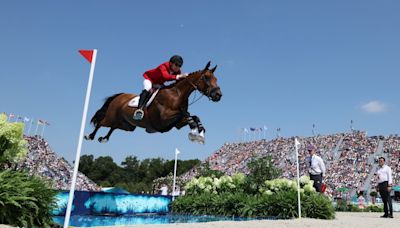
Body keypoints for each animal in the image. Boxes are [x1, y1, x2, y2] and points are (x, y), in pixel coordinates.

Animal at [84, 61, 222, 144]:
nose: (218, 95)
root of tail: (120, 96)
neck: (177, 95)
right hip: (111, 116)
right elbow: (187, 115)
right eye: (206, 78)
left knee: (114, 126)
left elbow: (194, 116)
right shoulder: (164, 118)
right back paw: (90, 136)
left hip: (127, 125)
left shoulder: (176, 123)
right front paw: (194, 132)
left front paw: (200, 134)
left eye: (216, 79)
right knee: (101, 123)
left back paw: (104, 138)